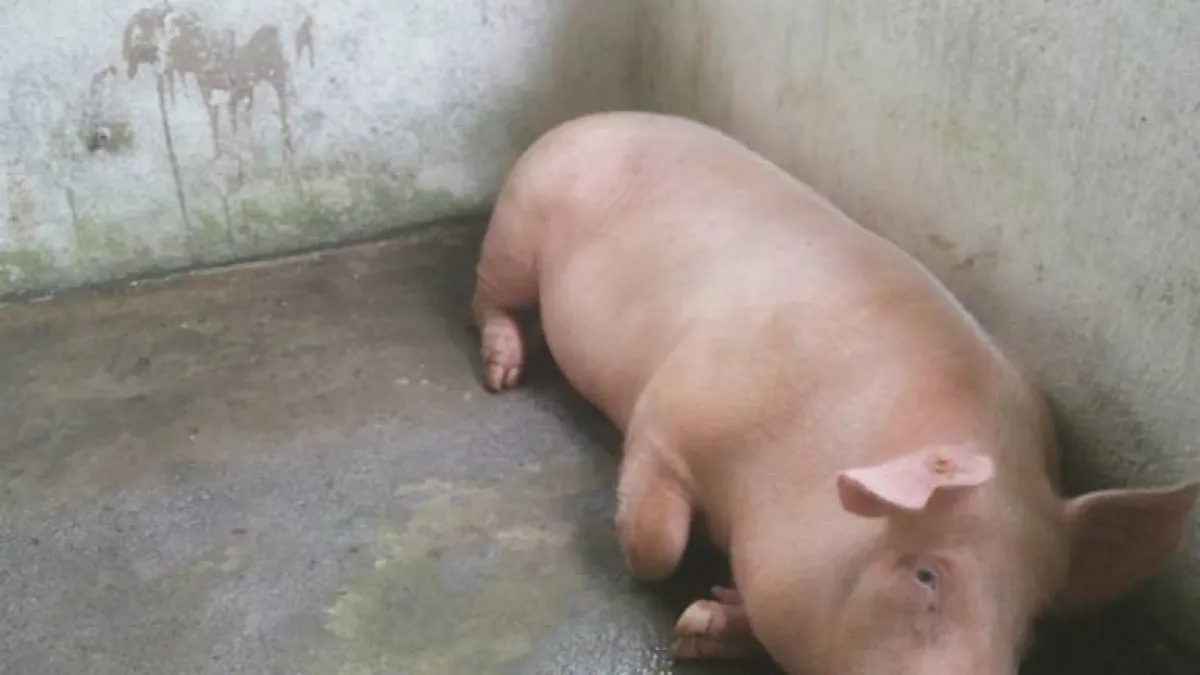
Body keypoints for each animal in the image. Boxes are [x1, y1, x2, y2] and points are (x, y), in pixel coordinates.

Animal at [468, 111, 1200, 674]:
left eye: (1033, 622)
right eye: (926, 575)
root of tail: (585, 118)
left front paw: (706, 619)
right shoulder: (668, 412)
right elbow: (654, 546)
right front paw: (685, 617)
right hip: (515, 229)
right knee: (486, 300)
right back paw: (503, 371)